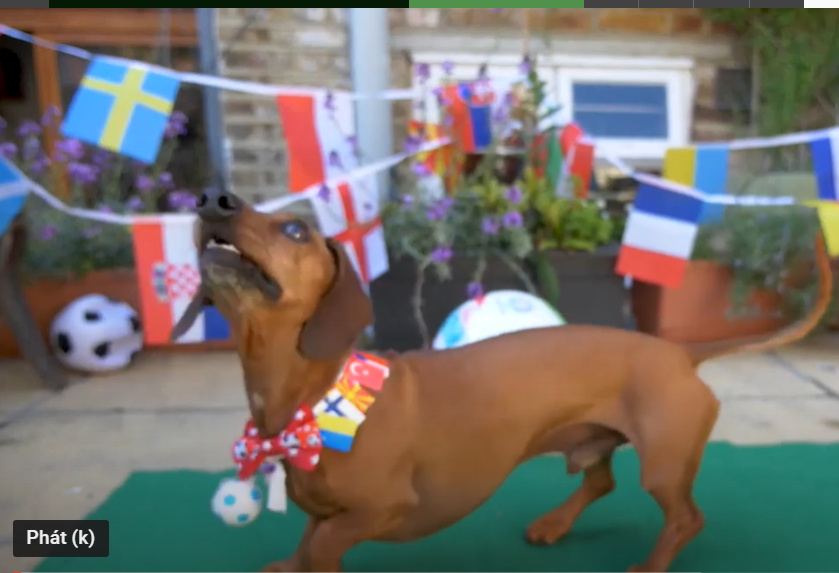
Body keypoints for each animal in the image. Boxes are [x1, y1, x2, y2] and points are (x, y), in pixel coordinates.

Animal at [174, 189, 832, 572]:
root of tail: (678, 352)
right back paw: (553, 524)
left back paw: (646, 570)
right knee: (601, 481)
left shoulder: (384, 508)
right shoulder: (321, 505)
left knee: (684, 520)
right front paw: (289, 565)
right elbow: (309, 537)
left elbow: (325, 544)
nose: (212, 200)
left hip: (666, 465)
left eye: (296, 232)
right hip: (595, 438)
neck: (314, 402)